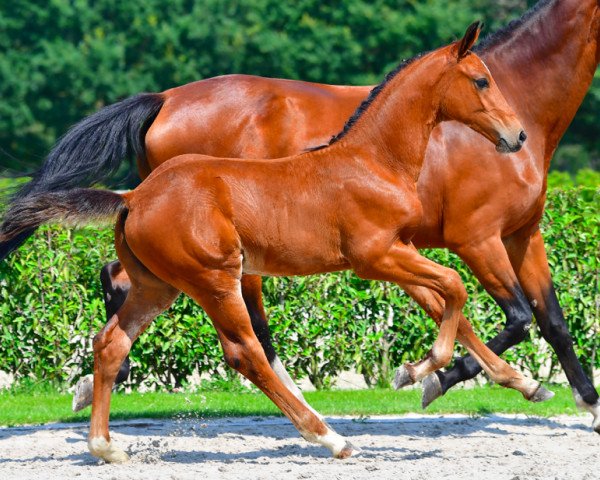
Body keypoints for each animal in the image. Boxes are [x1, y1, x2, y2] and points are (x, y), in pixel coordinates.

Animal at [1, 0, 600, 428]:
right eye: (480, 80)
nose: (514, 136)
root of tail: (165, 99)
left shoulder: (519, 234)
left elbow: (547, 317)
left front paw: (582, 402)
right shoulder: (470, 238)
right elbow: (510, 314)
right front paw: (431, 376)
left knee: (124, 284)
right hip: (226, 260)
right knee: (237, 326)